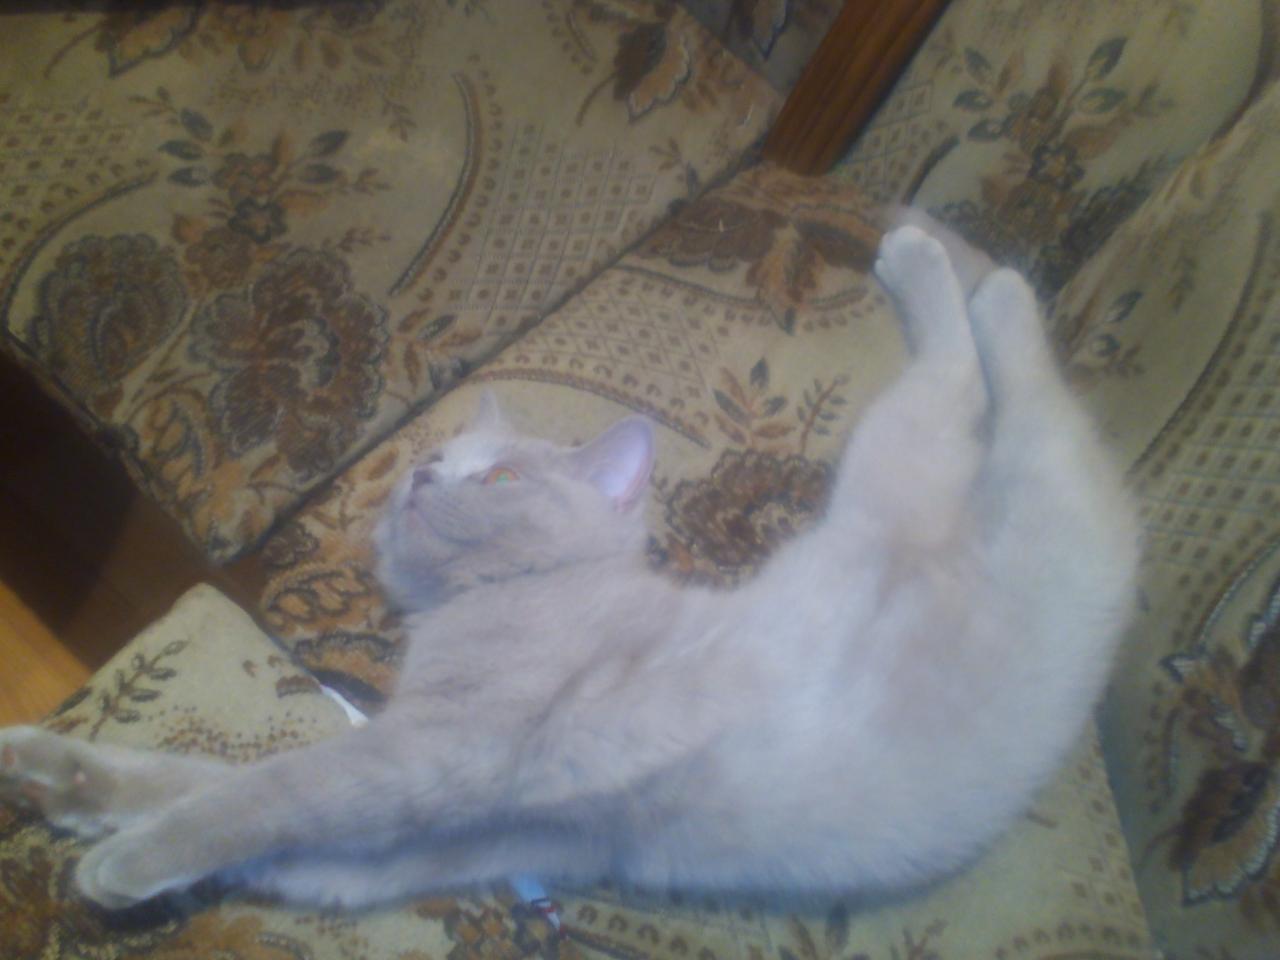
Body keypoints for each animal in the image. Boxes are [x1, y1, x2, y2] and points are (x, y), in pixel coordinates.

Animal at [0, 224, 1138, 911]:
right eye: (431, 459)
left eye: (497, 475)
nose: (423, 476)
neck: (499, 603)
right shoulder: (414, 847)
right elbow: (209, 787)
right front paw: (60, 777)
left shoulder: (426, 755)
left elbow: (259, 793)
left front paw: (121, 863)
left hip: (920, 466)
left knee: (1007, 386)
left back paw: (956, 274)